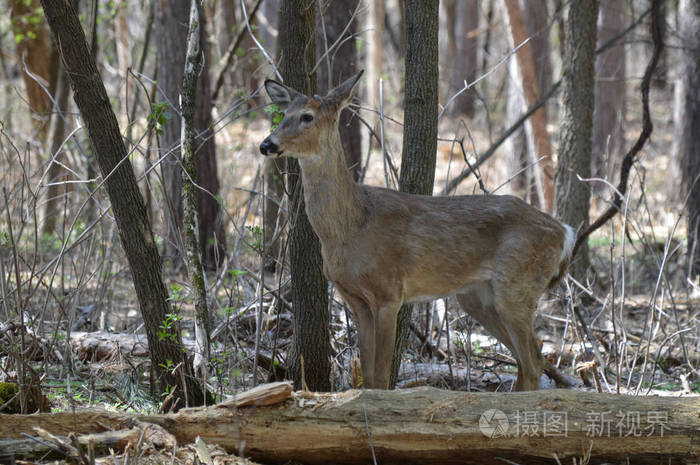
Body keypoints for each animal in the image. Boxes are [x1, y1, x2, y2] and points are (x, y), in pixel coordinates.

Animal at [258, 70, 576, 390]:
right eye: (284, 113)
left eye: (307, 116)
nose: (266, 145)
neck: (351, 227)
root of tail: (564, 232)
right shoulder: (355, 299)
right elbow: (368, 375)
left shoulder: (389, 292)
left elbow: (381, 375)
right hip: (478, 296)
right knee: (527, 359)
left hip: (517, 285)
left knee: (534, 360)